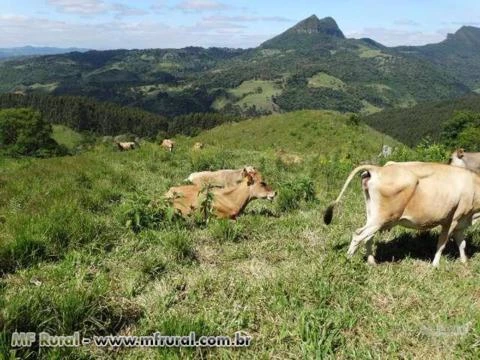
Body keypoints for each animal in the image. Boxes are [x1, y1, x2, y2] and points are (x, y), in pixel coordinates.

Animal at [322, 161, 480, 268]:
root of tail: (378, 169)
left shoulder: (461, 221)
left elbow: (462, 243)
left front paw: (464, 262)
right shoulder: (452, 220)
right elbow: (442, 243)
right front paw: (435, 265)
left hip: (373, 216)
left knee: (368, 237)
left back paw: (372, 262)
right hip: (381, 218)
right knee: (358, 235)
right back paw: (347, 260)